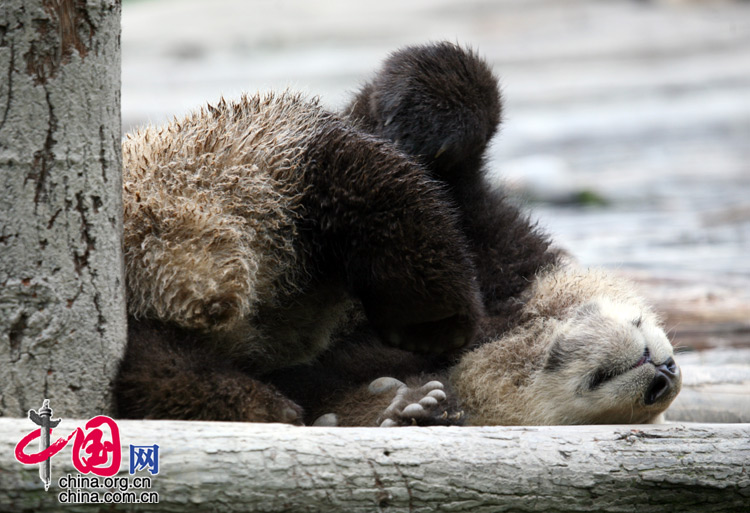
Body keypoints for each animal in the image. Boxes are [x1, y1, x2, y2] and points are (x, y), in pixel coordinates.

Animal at [274, 42, 684, 426]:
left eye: (643, 413)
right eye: (639, 320)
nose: (666, 375)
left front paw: (411, 405)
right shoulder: (503, 251)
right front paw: (424, 124)